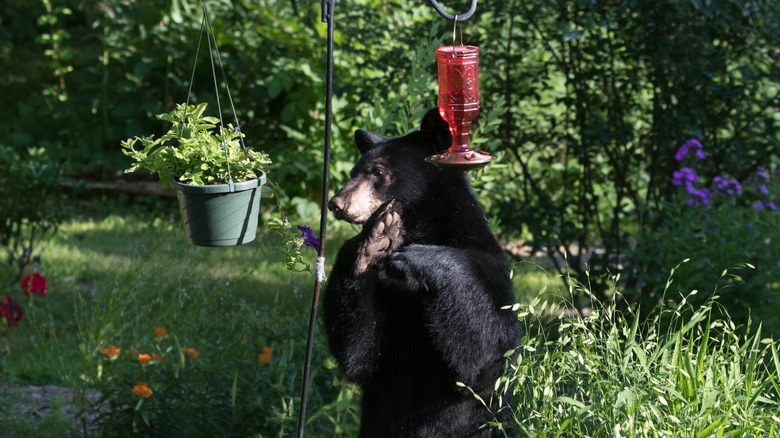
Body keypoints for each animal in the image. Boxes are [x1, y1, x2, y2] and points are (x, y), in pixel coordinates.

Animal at [326, 108, 520, 436]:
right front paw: (375, 241)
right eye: (354, 171)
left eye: (377, 172)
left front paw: (419, 258)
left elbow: (488, 354)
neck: (420, 228)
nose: (336, 203)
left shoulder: (491, 267)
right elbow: (362, 354)